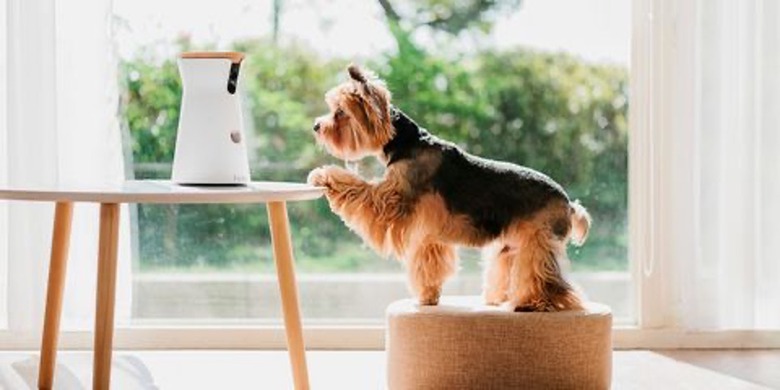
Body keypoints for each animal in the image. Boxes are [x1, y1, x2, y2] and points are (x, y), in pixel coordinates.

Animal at [308, 65, 588, 312]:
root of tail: (569, 204)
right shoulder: (429, 233)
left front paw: (325, 175)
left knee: (547, 278)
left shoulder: (392, 199)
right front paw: (429, 297)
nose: (316, 126)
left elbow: (361, 190)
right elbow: (430, 267)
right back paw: (497, 298)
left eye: (340, 112)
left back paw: (536, 303)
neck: (406, 142)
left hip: (538, 242)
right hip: (511, 244)